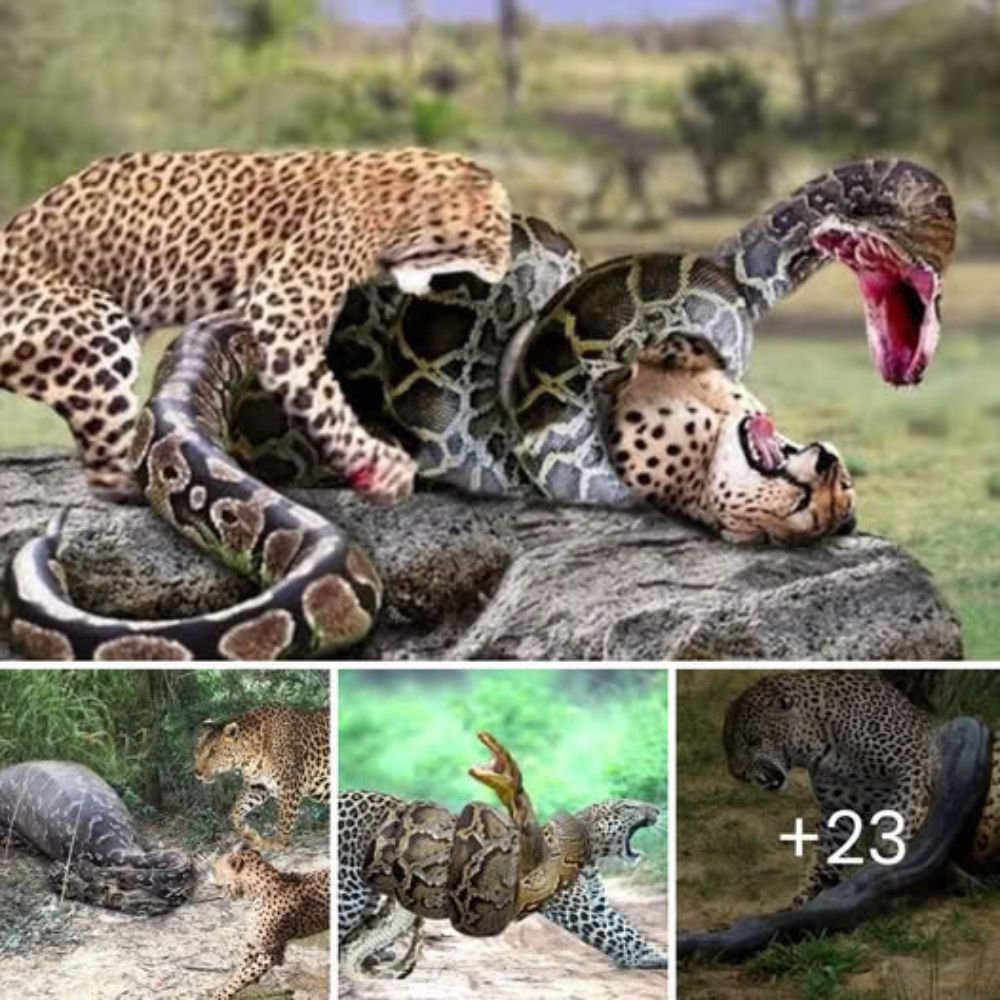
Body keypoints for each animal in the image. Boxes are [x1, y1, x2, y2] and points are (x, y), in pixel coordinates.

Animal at [0, 145, 512, 504]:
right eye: (501, 230)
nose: (507, 266)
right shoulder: (282, 309)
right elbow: (325, 399)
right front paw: (381, 466)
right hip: (92, 323)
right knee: (109, 462)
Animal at [196, 704, 332, 852]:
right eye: (198, 751)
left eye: (213, 752)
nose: (197, 772)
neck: (248, 757)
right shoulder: (257, 786)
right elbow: (235, 812)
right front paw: (251, 835)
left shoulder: (289, 786)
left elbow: (285, 816)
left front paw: (279, 841)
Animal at [210, 848, 328, 1000]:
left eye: (217, 868)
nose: (212, 874)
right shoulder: (254, 944)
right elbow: (241, 970)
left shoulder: (271, 953)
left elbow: (242, 977)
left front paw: (221, 994)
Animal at [724, 672, 1000, 908]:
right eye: (729, 747)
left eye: (753, 742)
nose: (738, 774)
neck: (821, 752)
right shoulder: (838, 811)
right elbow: (825, 855)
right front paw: (806, 896)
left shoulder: (915, 761)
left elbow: (903, 810)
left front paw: (891, 846)